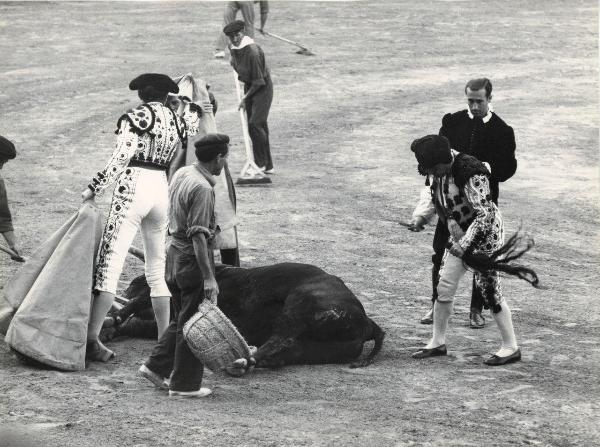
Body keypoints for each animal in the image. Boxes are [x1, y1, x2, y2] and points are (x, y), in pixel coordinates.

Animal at [112, 262, 384, 368]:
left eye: (135, 282)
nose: (124, 290)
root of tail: (370, 323)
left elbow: (138, 303)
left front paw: (116, 318)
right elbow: (137, 320)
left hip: (298, 307)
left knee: (282, 340)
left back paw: (243, 360)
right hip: (315, 350)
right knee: (284, 350)